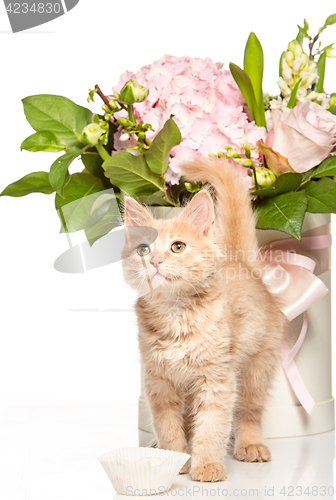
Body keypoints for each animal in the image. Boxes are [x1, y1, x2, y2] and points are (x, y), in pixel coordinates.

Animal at [122, 158, 288, 482]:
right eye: (143, 249)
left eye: (177, 247)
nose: (155, 261)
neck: (175, 315)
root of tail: (241, 263)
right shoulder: (159, 380)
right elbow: (168, 425)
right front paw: (174, 458)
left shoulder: (217, 378)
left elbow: (212, 425)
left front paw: (207, 465)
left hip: (257, 365)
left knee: (249, 410)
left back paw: (250, 444)